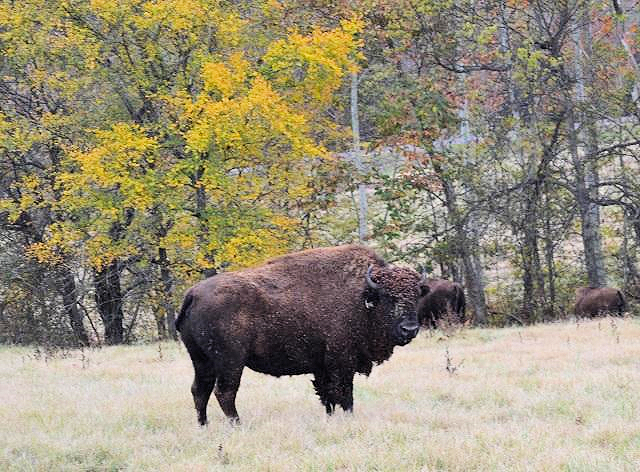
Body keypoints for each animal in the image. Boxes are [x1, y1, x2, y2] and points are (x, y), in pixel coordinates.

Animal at [174, 243, 430, 424]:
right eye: (388, 298)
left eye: (417, 295)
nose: (409, 329)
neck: (362, 297)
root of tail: (193, 294)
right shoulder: (341, 362)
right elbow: (345, 394)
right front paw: (348, 418)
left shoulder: (322, 367)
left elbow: (328, 397)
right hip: (230, 362)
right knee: (224, 392)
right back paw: (237, 424)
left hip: (201, 360)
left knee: (200, 390)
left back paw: (204, 425)